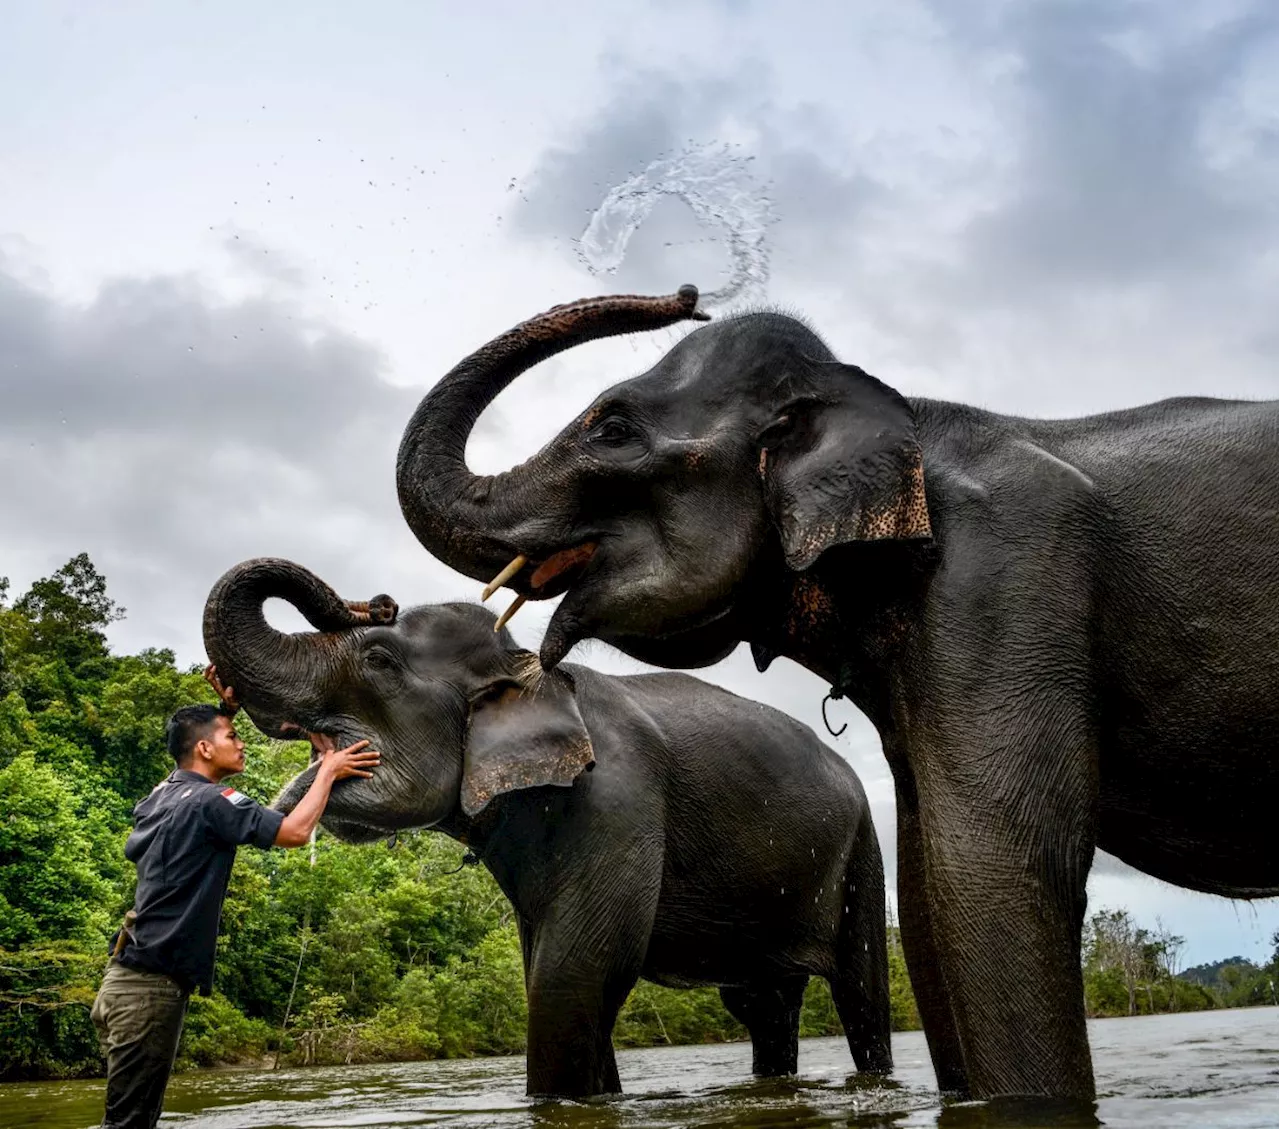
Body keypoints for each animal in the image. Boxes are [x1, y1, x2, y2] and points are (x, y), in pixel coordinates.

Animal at [204, 558, 896, 1095]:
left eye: (378, 659)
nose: (378, 600)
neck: (527, 665)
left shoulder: (619, 802)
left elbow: (575, 972)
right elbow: (549, 967)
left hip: (863, 848)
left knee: (860, 993)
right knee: (762, 1006)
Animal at [394, 284, 1280, 1100]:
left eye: (612, 429)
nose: (687, 294)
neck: (901, 416)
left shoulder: (1009, 580)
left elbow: (999, 864)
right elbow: (928, 895)